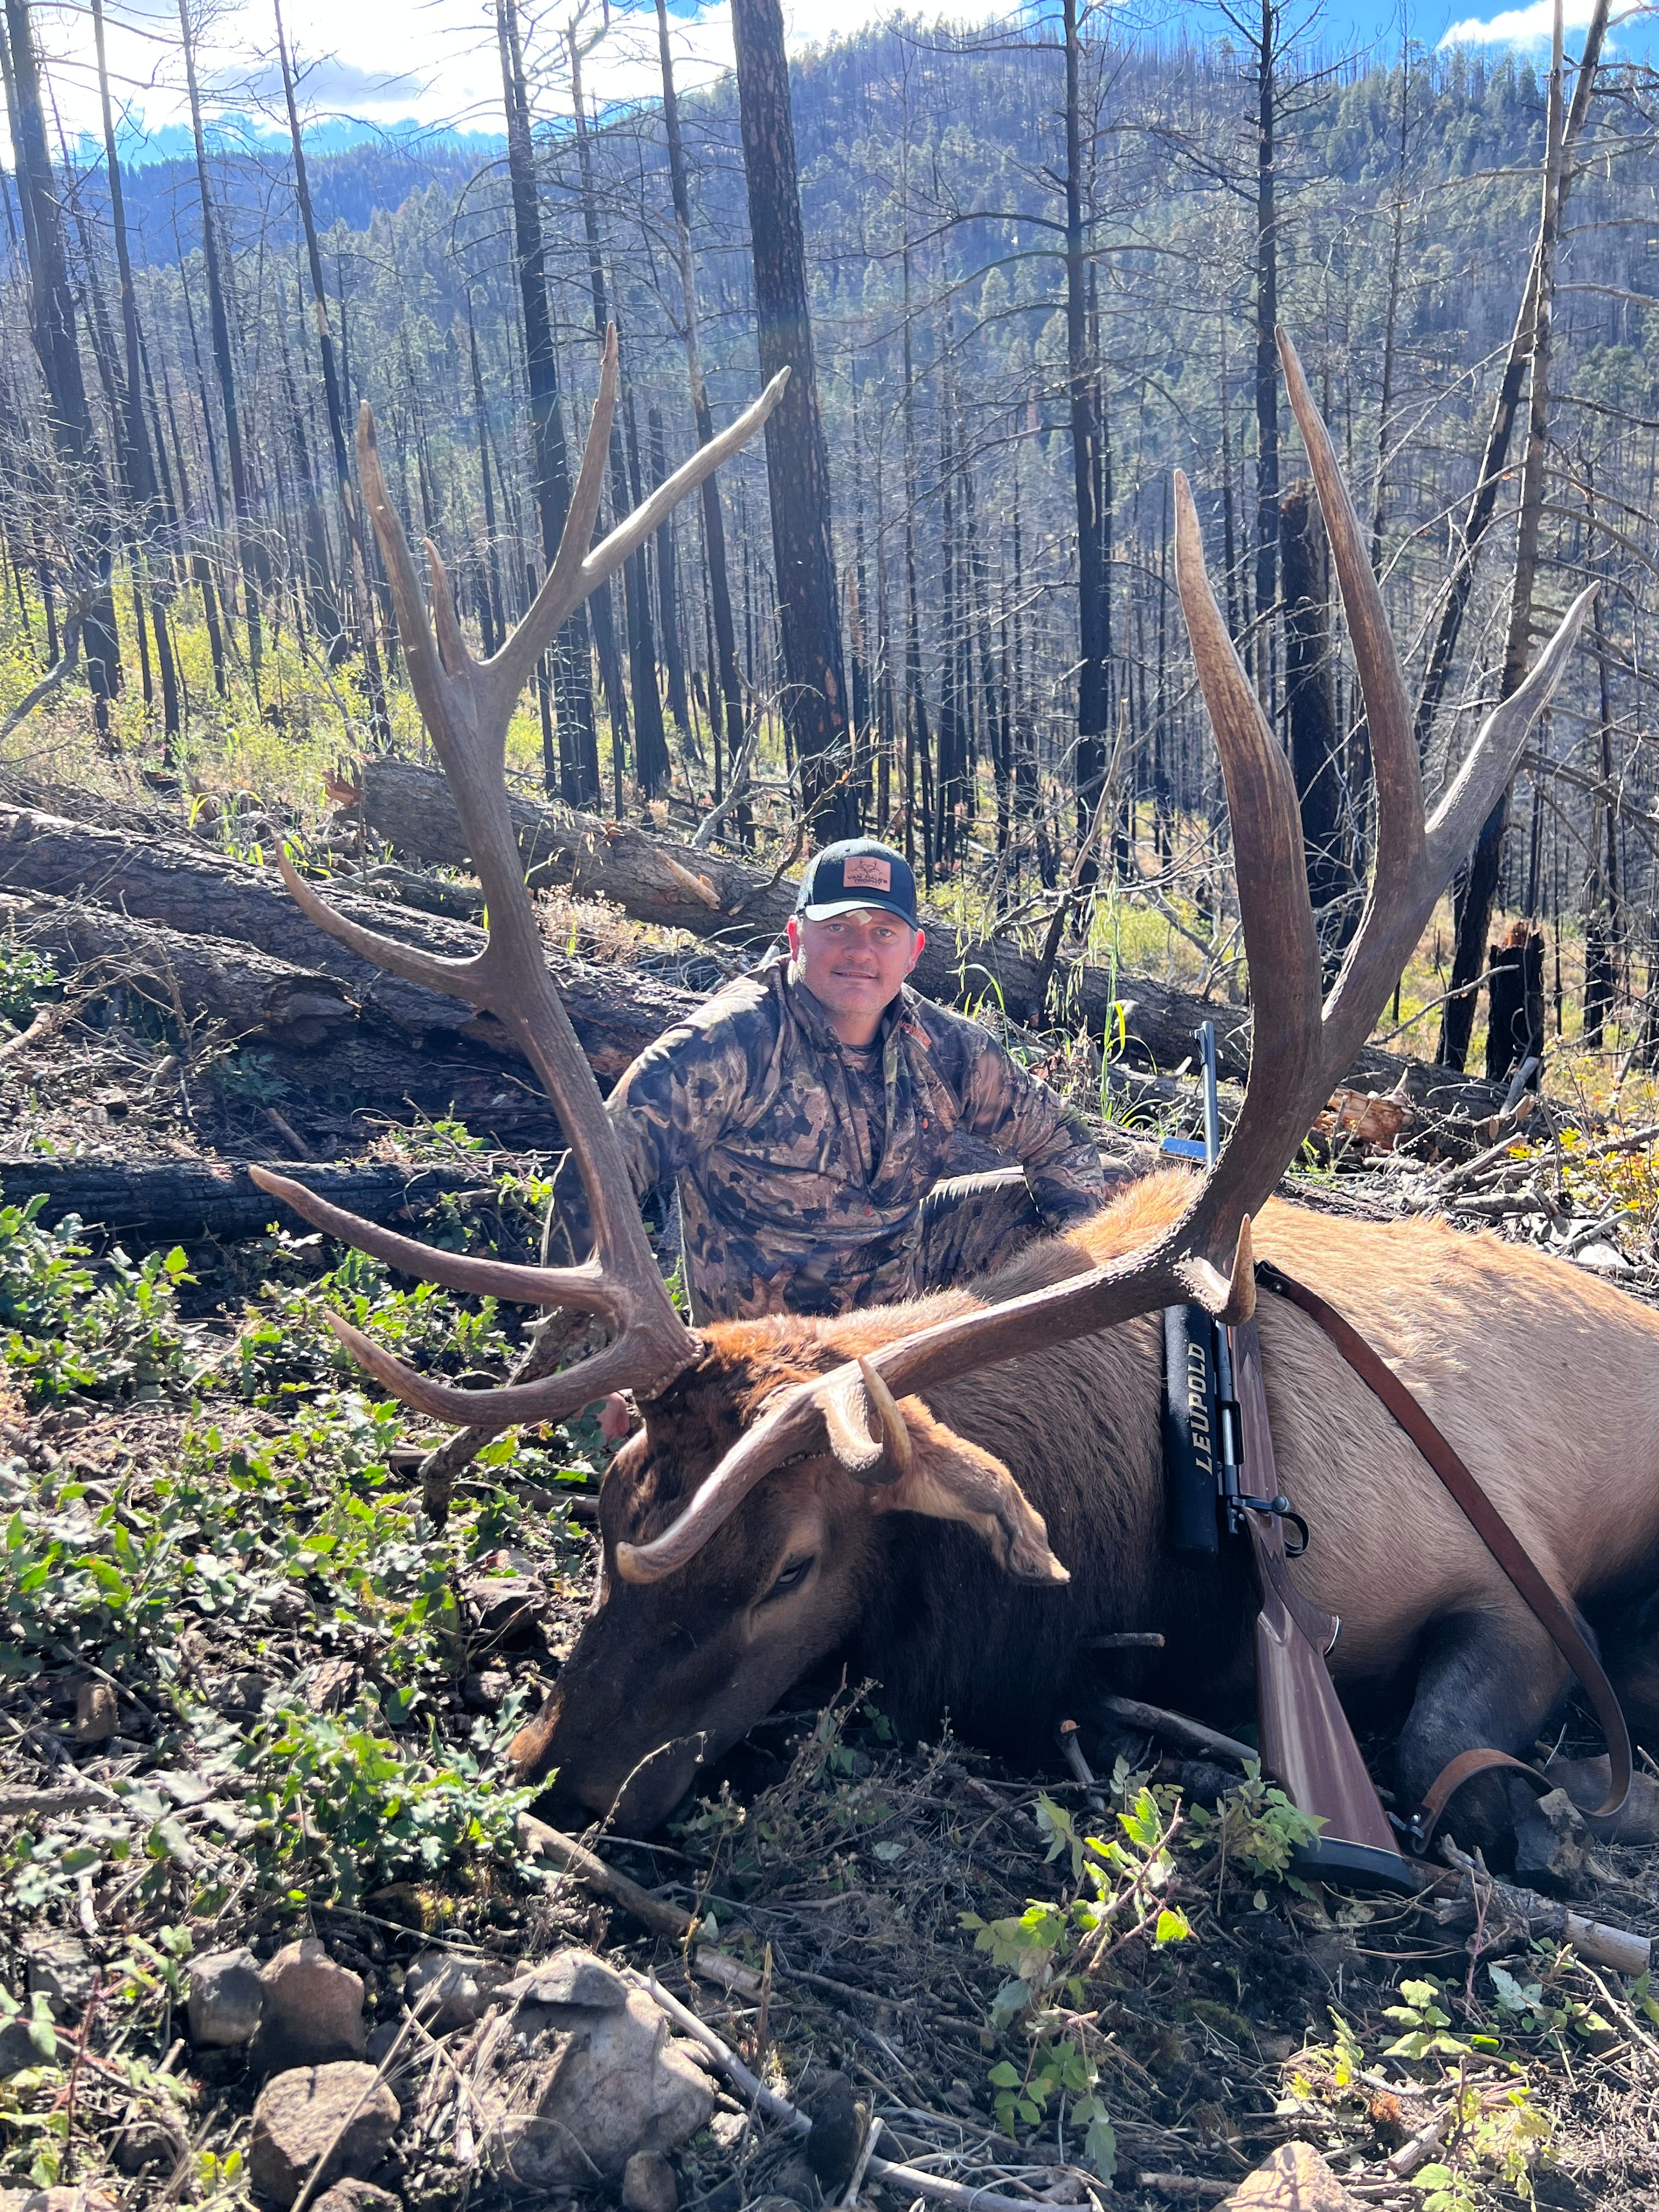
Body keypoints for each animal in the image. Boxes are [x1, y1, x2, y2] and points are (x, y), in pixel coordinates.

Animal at [250, 325, 1659, 1859]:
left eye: (794, 1564)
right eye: (614, 1507)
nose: (563, 1774)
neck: (1134, 1546)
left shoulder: (1499, 1570)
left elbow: (1441, 1738)